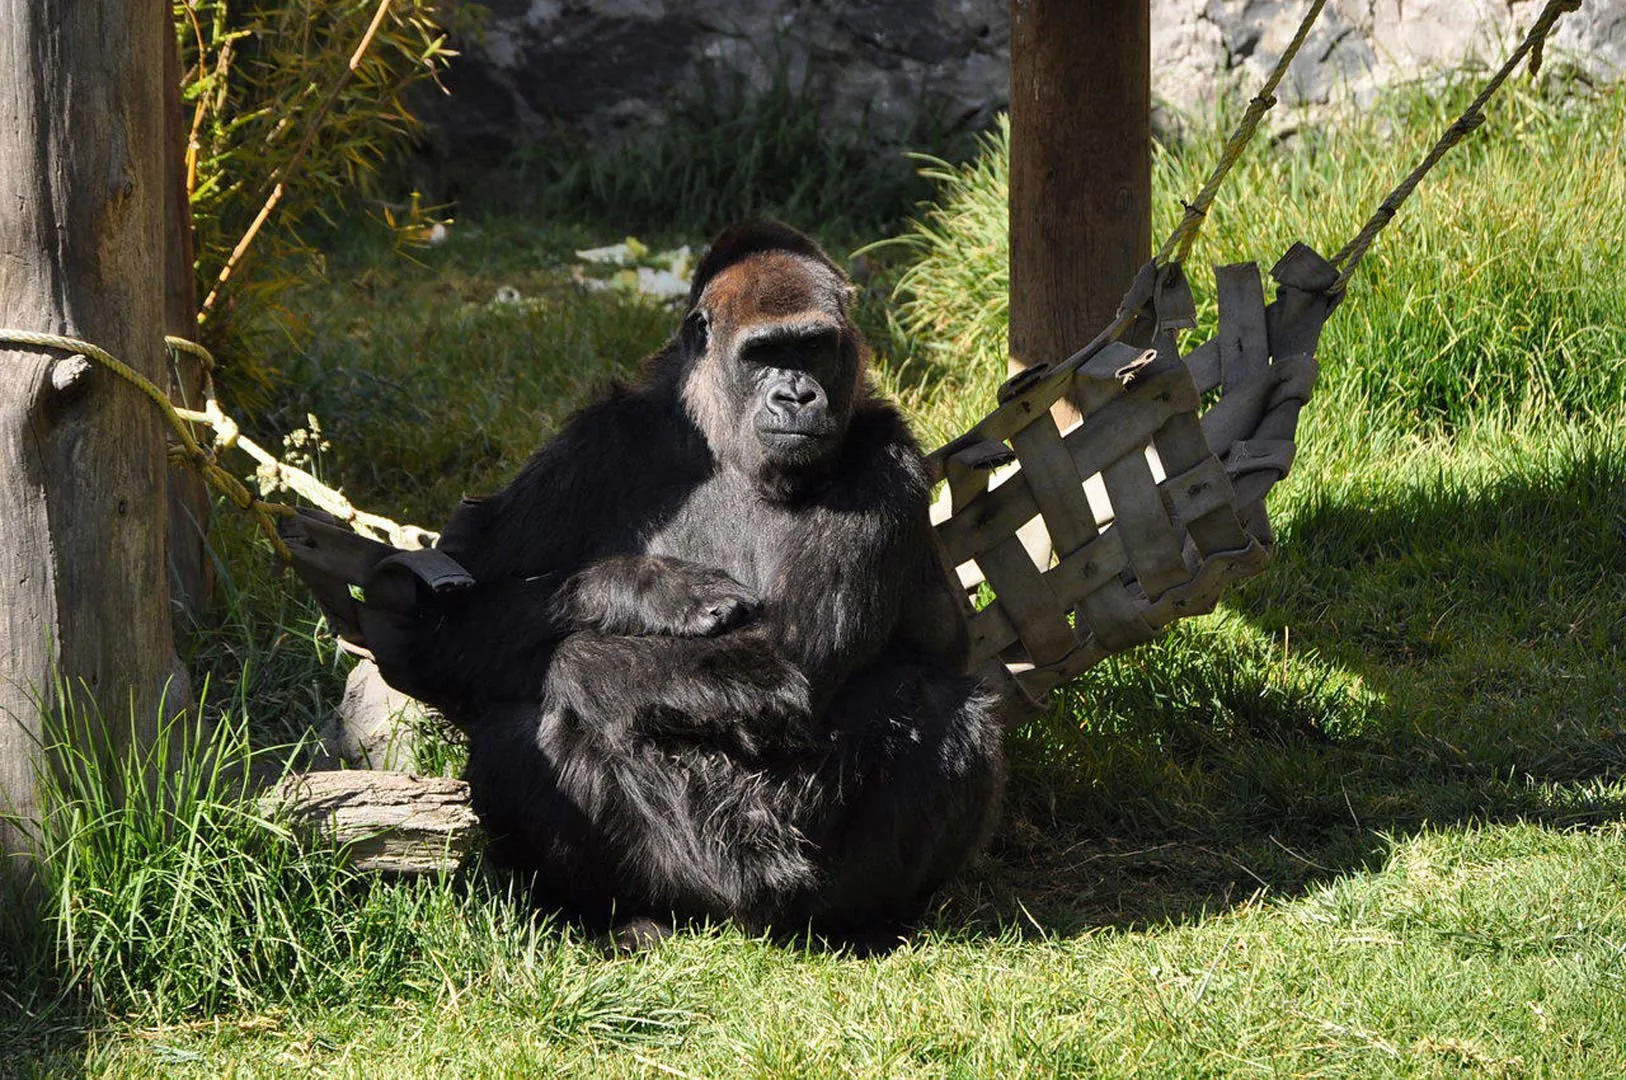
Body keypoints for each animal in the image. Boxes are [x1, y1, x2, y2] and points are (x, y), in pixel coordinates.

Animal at [334, 219, 995, 936]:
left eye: (813, 347)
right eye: (764, 353)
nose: (797, 395)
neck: (721, 438)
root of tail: (736, 919)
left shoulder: (887, 457)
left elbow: (783, 661)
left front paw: (596, 646)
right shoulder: (597, 440)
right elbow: (428, 616)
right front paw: (649, 589)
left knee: (958, 714)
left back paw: (869, 920)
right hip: (685, 885)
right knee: (512, 731)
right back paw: (614, 917)